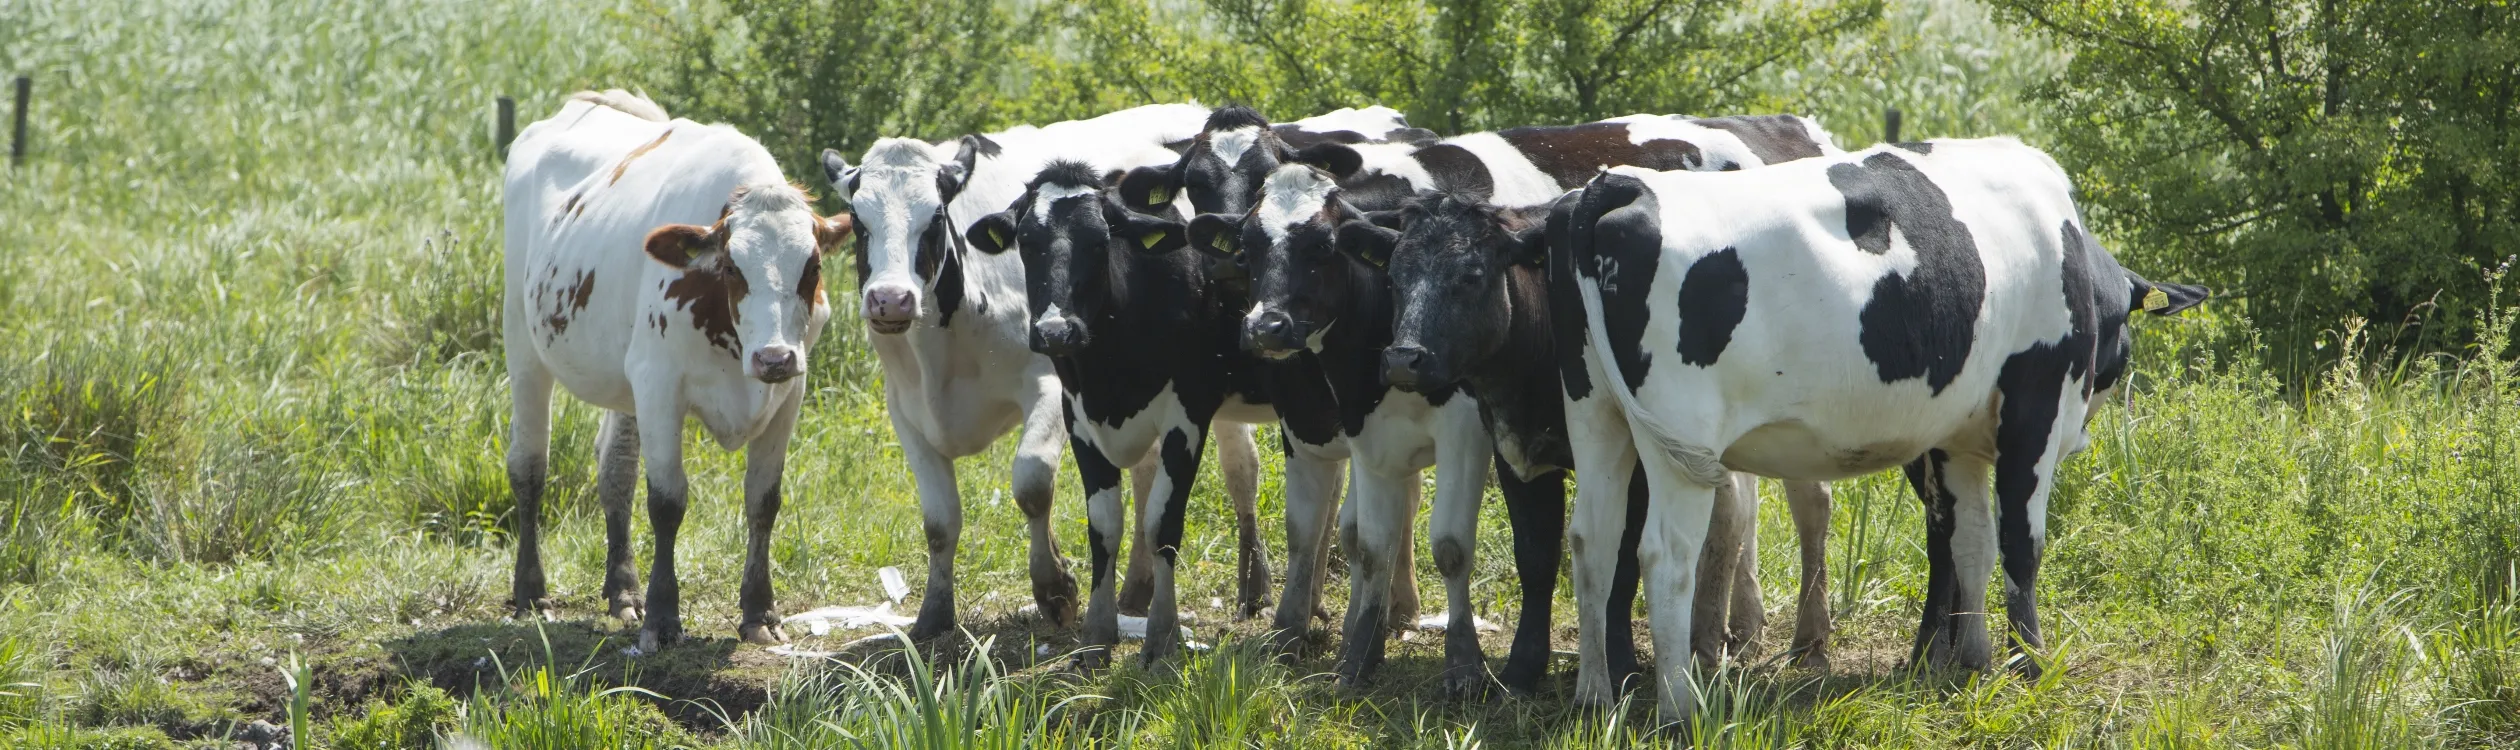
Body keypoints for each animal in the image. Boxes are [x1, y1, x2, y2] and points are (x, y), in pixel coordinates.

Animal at [501, 90, 856, 649]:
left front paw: (760, 611)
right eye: (732, 266)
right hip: (523, 344)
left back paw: (623, 590)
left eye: (813, 266)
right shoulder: (659, 384)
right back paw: (532, 592)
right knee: (529, 466)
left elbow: (764, 501)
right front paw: (664, 619)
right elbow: (667, 502)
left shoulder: (788, 395)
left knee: (616, 470)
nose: (774, 357)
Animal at [816, 103, 1219, 639]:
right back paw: (1137, 589)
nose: (890, 299)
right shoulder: (905, 411)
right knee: (1148, 472)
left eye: (936, 217)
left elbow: (1031, 483)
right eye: (859, 223)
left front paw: (1055, 587)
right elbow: (939, 521)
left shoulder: (1050, 386)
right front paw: (933, 613)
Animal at [1340, 114, 1854, 669]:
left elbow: (1626, 563)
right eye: (1394, 276)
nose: (1402, 357)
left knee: (1801, 504)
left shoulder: (1640, 465)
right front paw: (1526, 663)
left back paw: (1801, 639)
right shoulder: (1515, 450)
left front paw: (1622, 658)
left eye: (1472, 275)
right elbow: (1536, 556)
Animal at [1542, 140, 2217, 719]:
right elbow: (2020, 543)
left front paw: (1973, 659)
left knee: (1592, 541)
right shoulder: (2036, 406)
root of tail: (1620, 185)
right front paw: (2030, 665)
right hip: (1678, 440)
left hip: (1594, 411)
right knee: (1665, 554)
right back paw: (1681, 707)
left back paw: (1594, 696)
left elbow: (1970, 539)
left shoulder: (1953, 436)